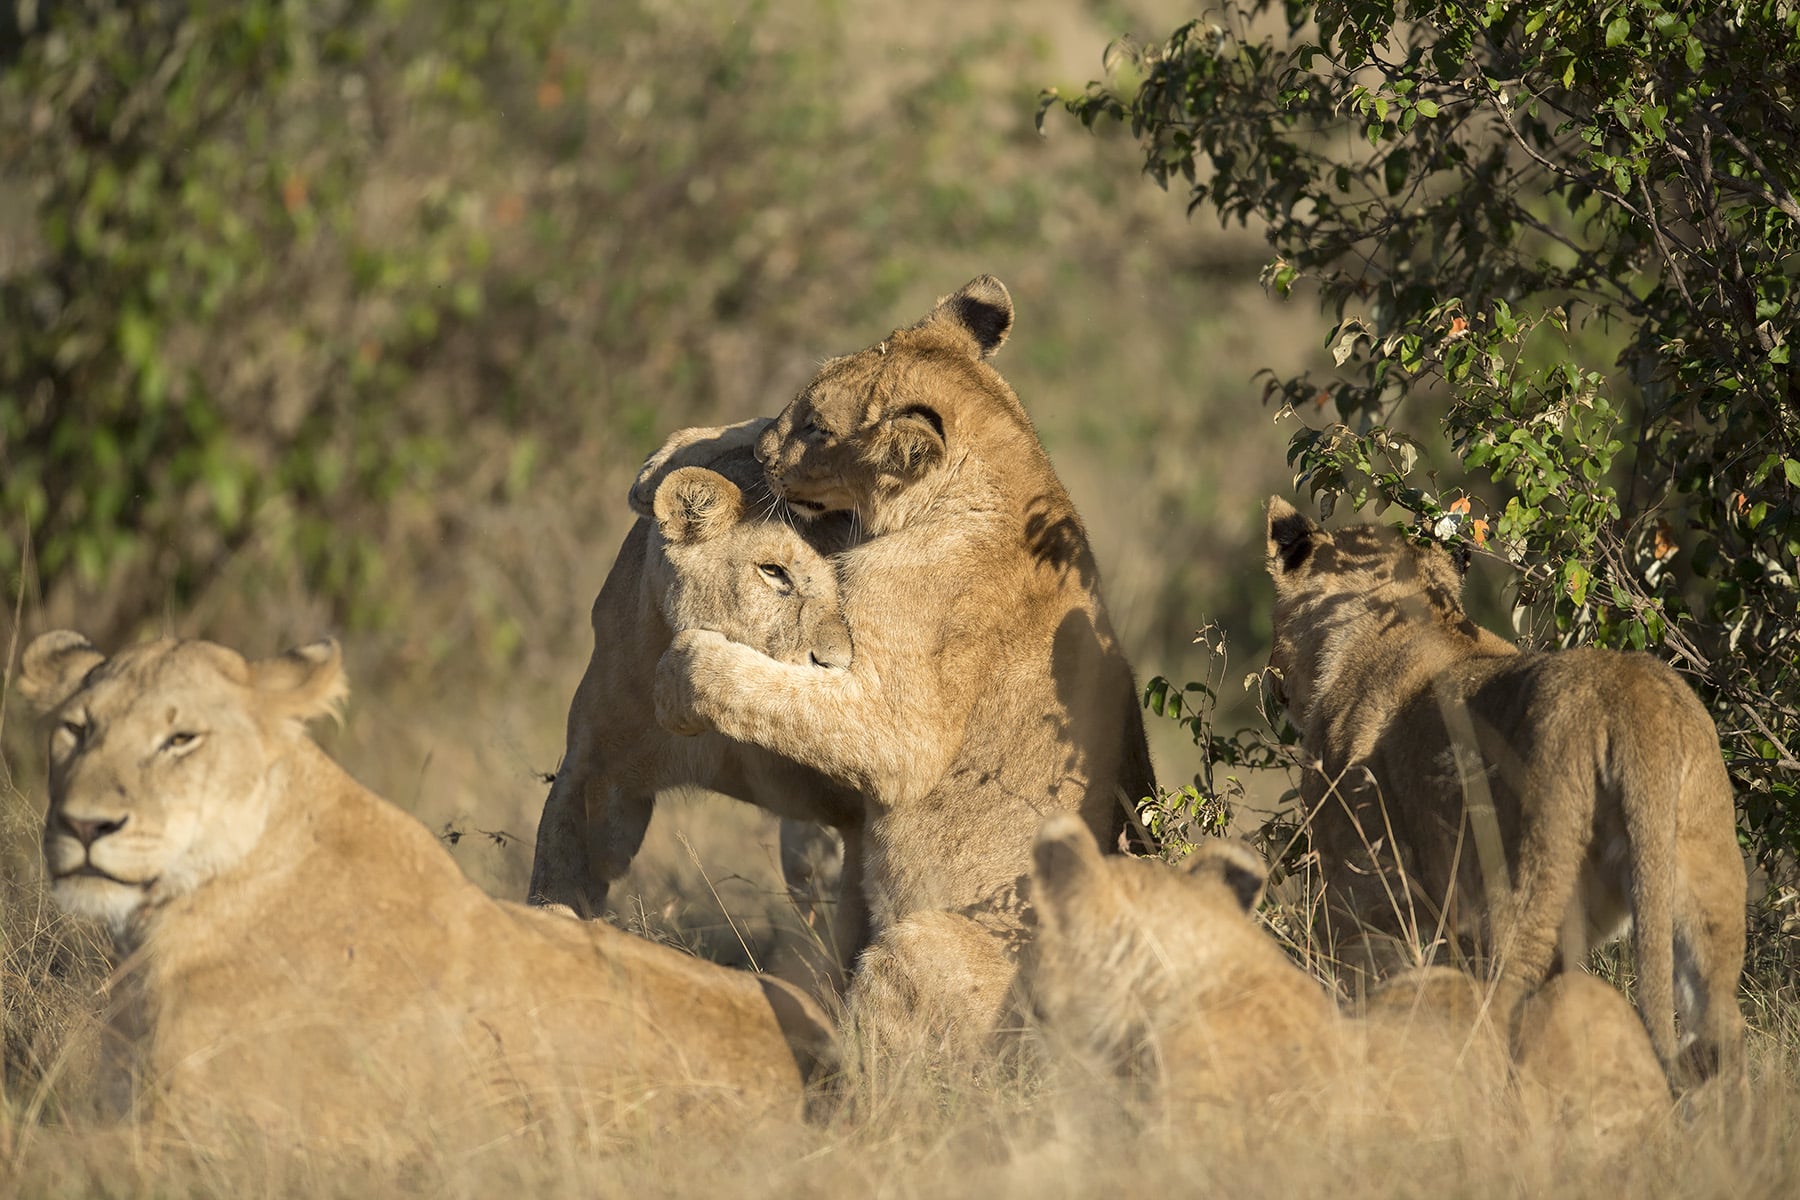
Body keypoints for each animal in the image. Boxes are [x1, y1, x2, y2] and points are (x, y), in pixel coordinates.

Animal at [1265, 495, 1748, 1087]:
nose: (1272, 682)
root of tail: (1632, 698)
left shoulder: (1365, 898)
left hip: (1527, 880)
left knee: (1505, 1002)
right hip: (1706, 890)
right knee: (1720, 1034)